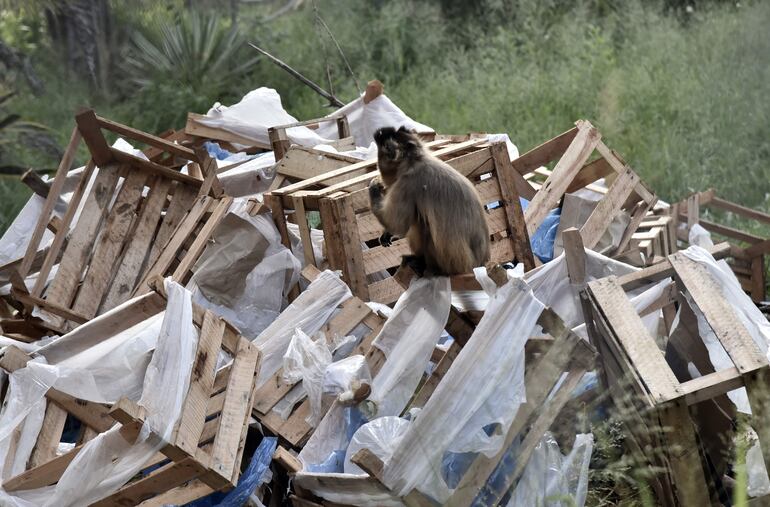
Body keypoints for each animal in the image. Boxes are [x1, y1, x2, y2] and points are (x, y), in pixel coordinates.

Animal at [368, 127, 488, 278]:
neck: (416, 161)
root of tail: (479, 266)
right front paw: (386, 233)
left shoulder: (407, 183)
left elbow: (397, 226)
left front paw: (374, 185)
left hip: (453, 263)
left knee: (420, 222)